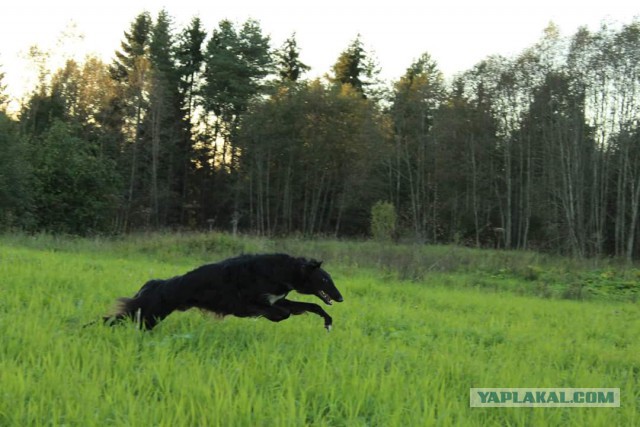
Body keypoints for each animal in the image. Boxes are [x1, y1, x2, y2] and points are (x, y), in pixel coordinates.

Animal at [104, 254, 344, 332]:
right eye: (325, 279)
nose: (340, 297)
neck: (279, 271)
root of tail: (156, 285)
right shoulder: (245, 304)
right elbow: (281, 313)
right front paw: (274, 317)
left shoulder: (276, 299)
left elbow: (312, 306)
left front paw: (328, 322)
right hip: (149, 314)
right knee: (114, 319)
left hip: (148, 316)